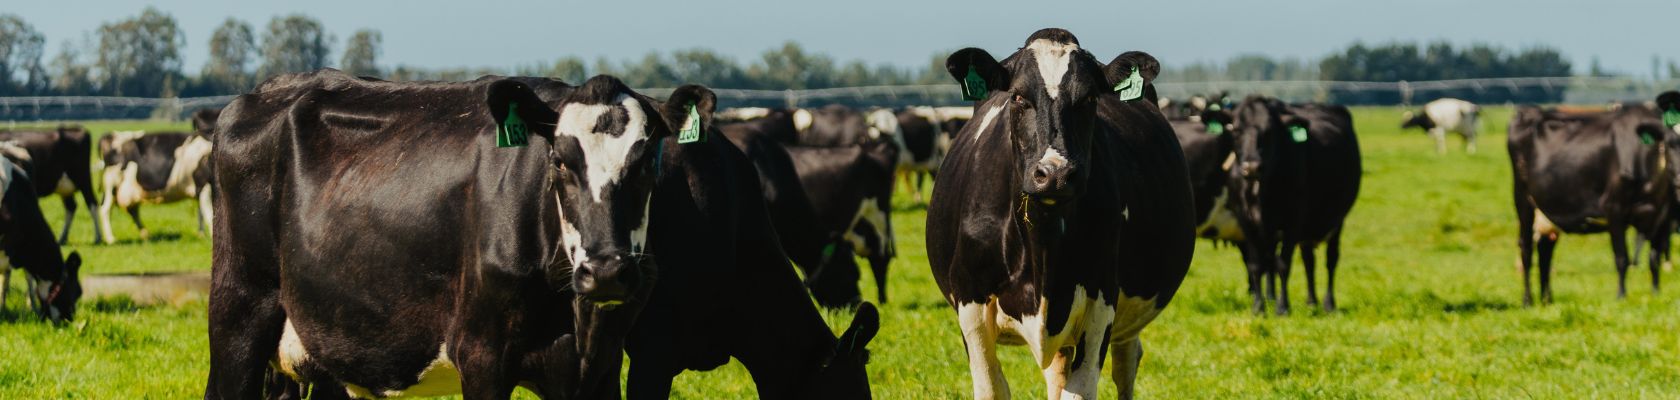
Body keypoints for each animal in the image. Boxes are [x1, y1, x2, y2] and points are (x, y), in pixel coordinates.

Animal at [207, 70, 877, 399]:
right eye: (558, 160)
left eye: (648, 161)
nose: (607, 271)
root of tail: (256, 96)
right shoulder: (491, 355)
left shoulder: (594, 366)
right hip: (240, 309)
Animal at [926, 28, 1194, 399]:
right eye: (1019, 97)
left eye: (1089, 99)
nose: (1055, 173)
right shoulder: (971, 303)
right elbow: (992, 387)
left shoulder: (1101, 303)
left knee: (1126, 364)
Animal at [1220, 97, 1362, 315]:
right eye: (1236, 130)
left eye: (1270, 131)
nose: (1251, 167)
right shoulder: (1246, 221)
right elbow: (1256, 264)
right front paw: (1259, 307)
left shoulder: (1293, 221)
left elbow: (1283, 264)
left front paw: (1282, 307)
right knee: (1306, 261)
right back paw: (1310, 301)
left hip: (1337, 221)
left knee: (1331, 260)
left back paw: (1328, 303)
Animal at [1507, 91, 1680, 305]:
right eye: (1672, 143)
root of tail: (1529, 111)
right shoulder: (1614, 208)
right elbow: (1622, 257)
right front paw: (1621, 296)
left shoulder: (1662, 216)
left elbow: (1654, 259)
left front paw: (1656, 294)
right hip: (1523, 200)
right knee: (1526, 248)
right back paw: (1528, 300)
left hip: (1547, 209)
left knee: (1545, 250)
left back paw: (1547, 299)